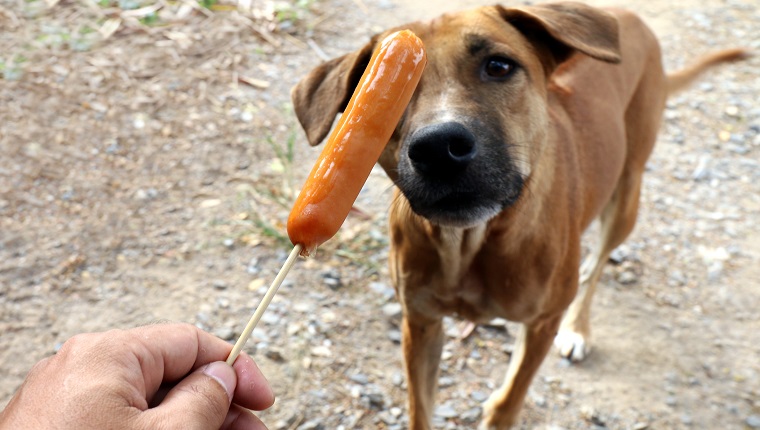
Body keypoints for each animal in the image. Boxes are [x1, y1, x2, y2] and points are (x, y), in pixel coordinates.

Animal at [292, 1, 748, 428]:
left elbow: (509, 401)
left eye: (499, 66)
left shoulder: (542, 323)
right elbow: (420, 407)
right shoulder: (420, 323)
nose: (438, 148)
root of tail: (626, 16)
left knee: (599, 262)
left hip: (626, 196)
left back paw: (579, 328)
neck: (471, 242)